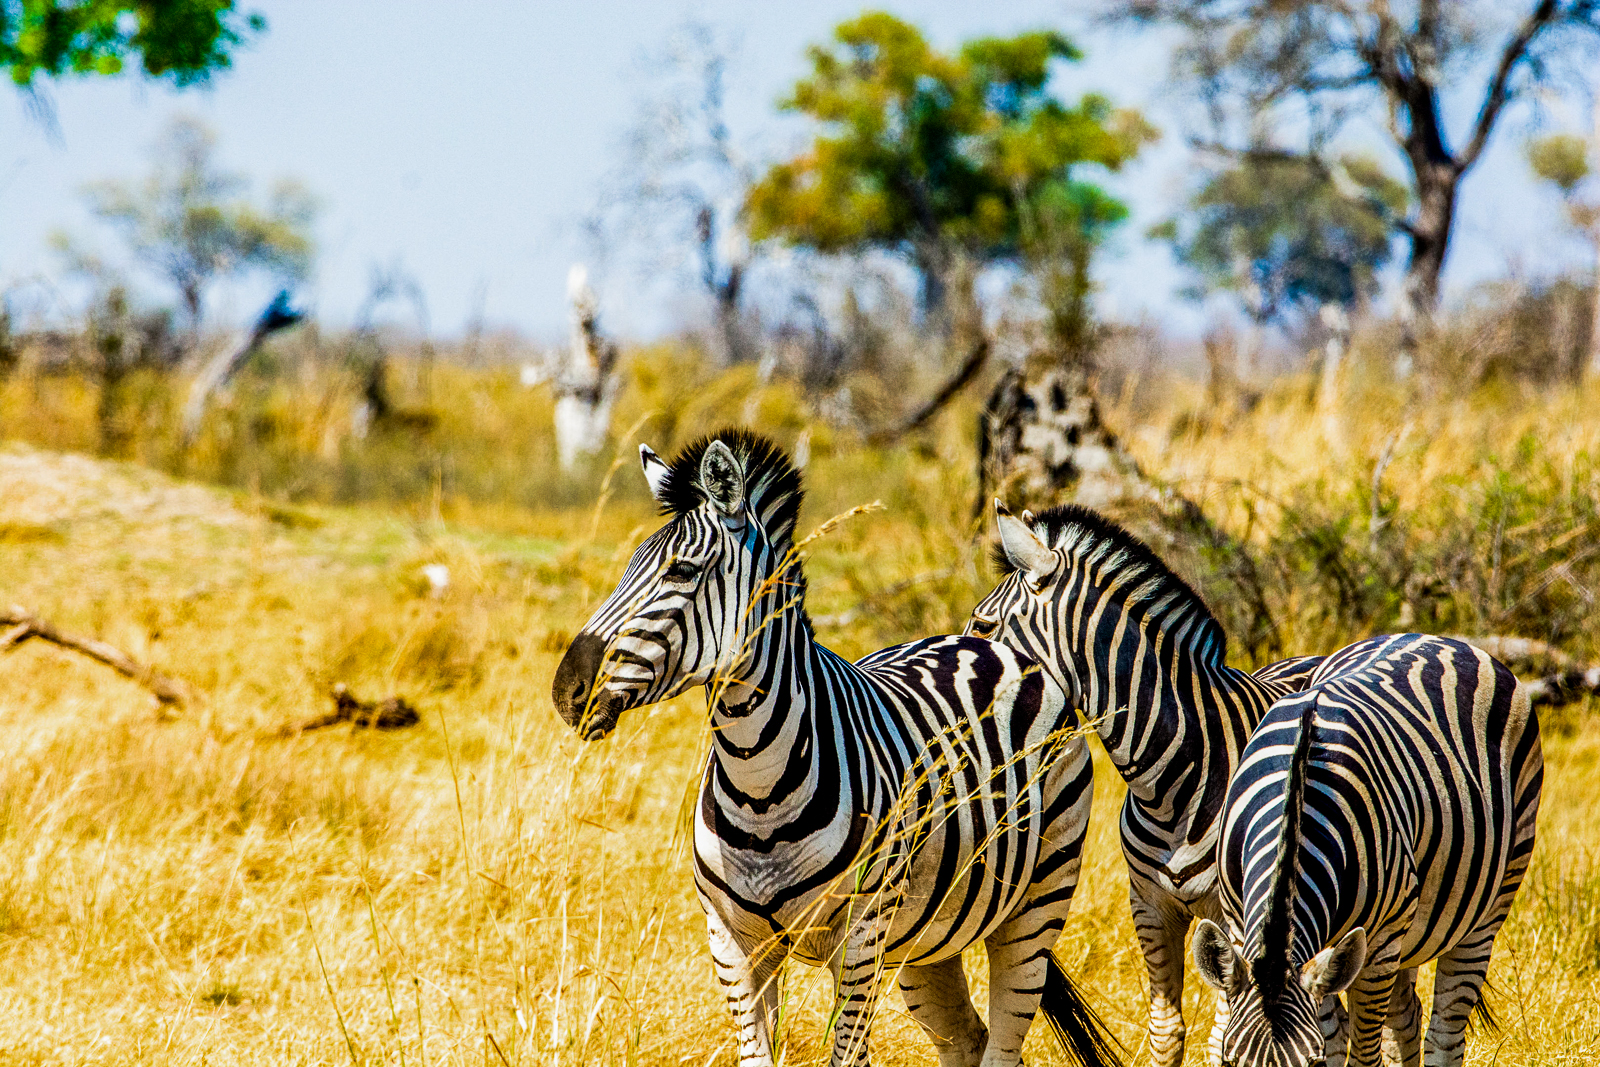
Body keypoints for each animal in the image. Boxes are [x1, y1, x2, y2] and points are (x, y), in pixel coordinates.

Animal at [550, 430, 1120, 1067]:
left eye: (683, 569)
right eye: (628, 565)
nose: (568, 689)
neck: (757, 785)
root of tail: (987, 644)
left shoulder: (859, 938)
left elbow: (847, 1055)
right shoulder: (732, 944)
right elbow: (756, 1054)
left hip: (1037, 904)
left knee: (1002, 1043)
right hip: (931, 937)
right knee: (965, 1040)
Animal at [965, 502, 1325, 1066]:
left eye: (982, 624)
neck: (1173, 780)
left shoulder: (1234, 918)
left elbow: (1223, 1036)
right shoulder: (1150, 907)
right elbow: (1166, 1031)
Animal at [1191, 633, 1542, 1067]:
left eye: (1311, 1064)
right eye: (1229, 1061)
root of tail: (1442, 638)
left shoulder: (1379, 947)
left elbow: (1361, 1054)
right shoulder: (1243, 925)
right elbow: (1336, 1036)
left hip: (1487, 908)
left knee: (1445, 1033)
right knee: (1407, 1017)